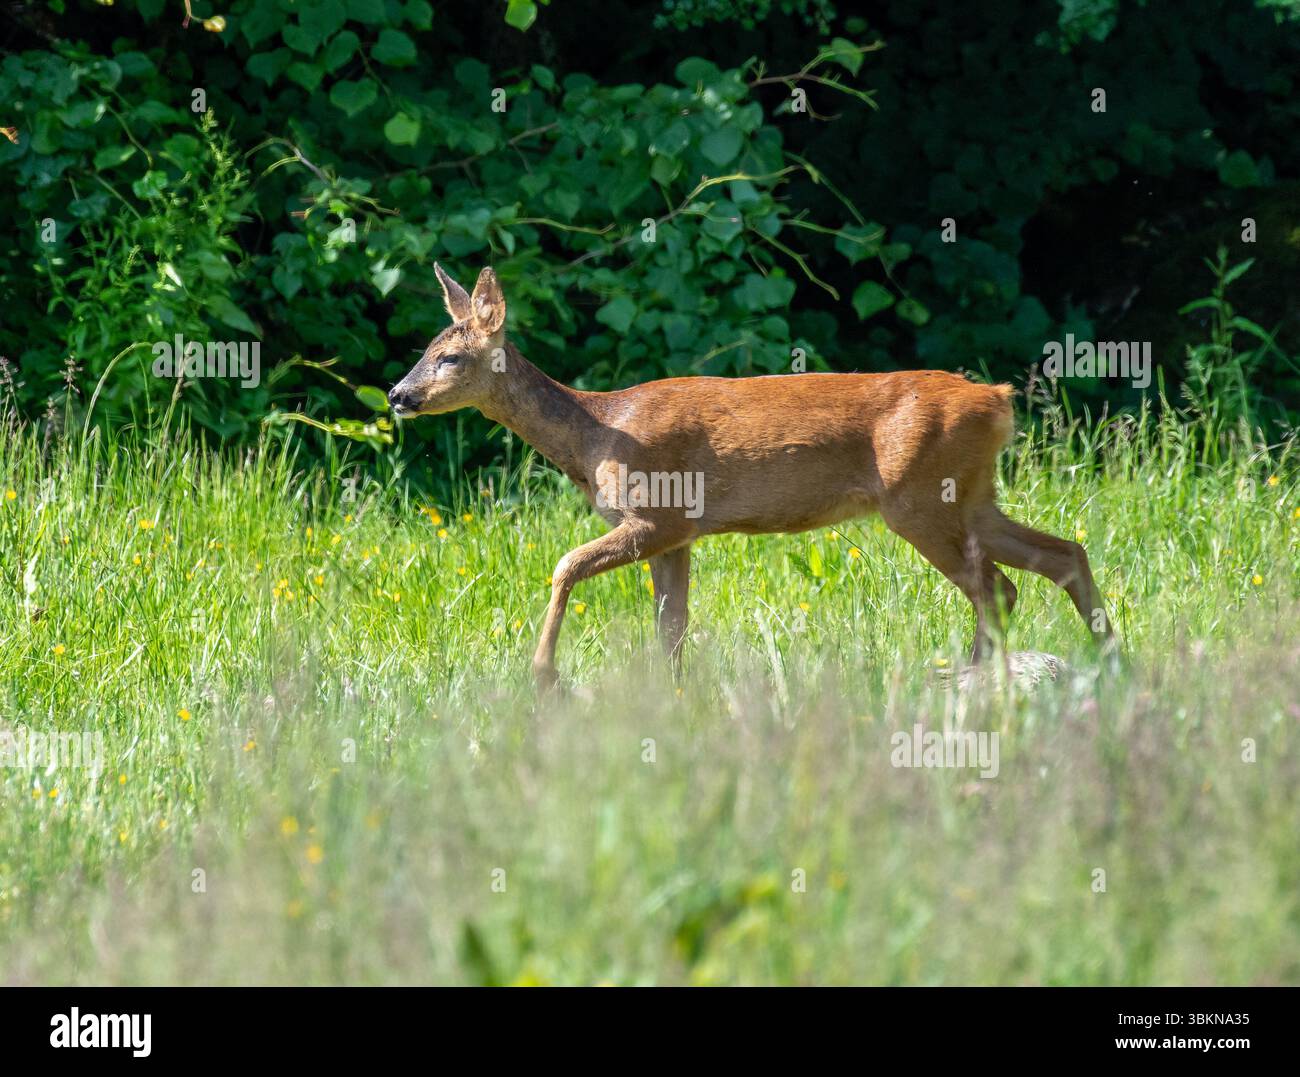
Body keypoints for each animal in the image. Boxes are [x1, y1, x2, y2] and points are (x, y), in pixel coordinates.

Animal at [388, 263, 1115, 691]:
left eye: (450, 358)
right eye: (424, 350)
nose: (397, 395)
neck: (599, 431)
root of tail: (998, 398)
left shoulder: (657, 515)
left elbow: (565, 565)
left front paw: (543, 674)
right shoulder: (676, 536)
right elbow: (671, 627)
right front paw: (670, 697)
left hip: (918, 497)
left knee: (996, 587)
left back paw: (970, 678)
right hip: (971, 494)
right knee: (1061, 555)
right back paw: (1109, 658)